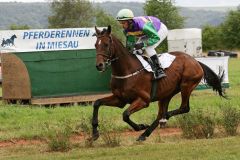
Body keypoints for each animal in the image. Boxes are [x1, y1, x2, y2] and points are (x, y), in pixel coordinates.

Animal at [91, 25, 225, 141]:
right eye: (95, 45)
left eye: (106, 44)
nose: (99, 65)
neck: (126, 71)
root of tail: (195, 61)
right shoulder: (120, 99)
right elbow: (97, 103)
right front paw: (95, 133)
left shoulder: (143, 100)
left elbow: (125, 114)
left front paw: (140, 126)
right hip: (166, 94)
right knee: (161, 114)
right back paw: (145, 134)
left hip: (186, 86)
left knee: (183, 108)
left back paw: (164, 118)